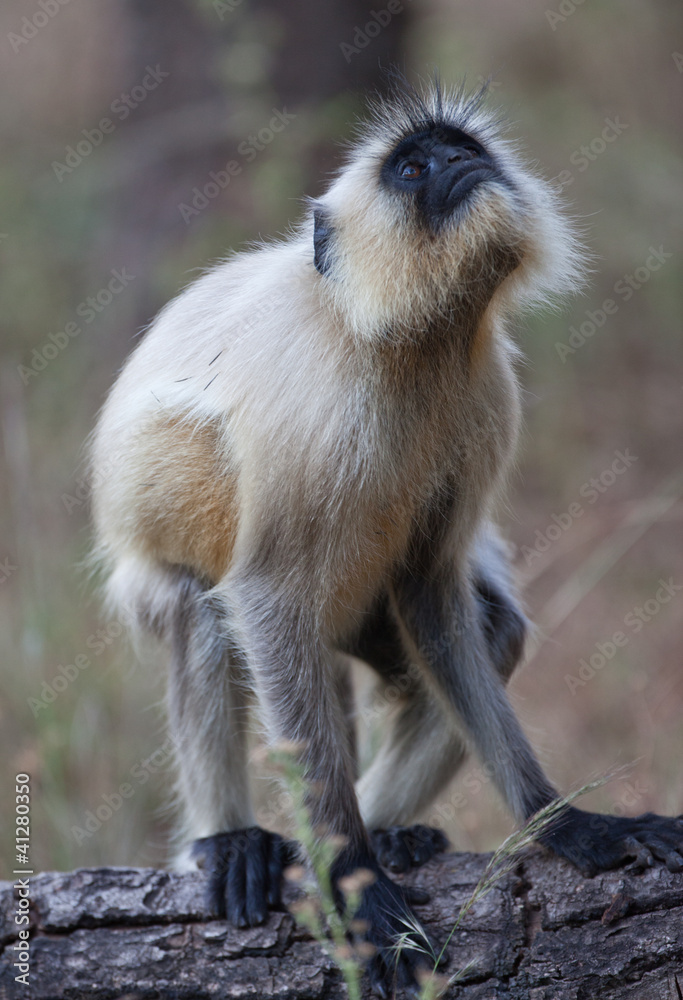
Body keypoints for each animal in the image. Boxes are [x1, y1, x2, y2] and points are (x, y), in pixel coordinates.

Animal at [89, 80, 683, 994]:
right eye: (411, 169)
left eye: (455, 149)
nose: (454, 161)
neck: (414, 345)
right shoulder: (316, 401)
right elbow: (261, 595)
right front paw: (352, 882)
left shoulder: (486, 390)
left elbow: (434, 591)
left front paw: (562, 822)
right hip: (161, 577)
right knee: (202, 604)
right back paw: (233, 839)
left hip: (358, 617)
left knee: (484, 627)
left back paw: (386, 830)